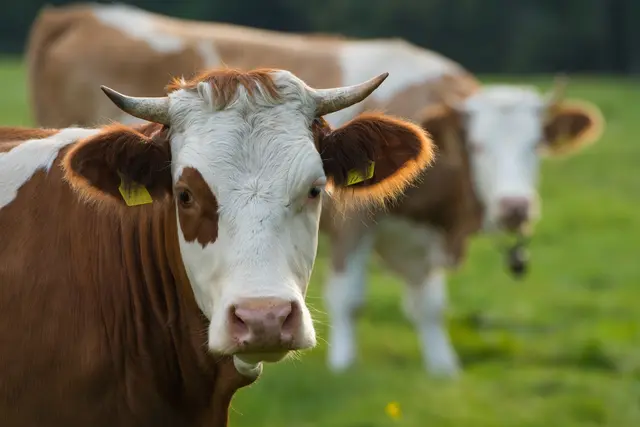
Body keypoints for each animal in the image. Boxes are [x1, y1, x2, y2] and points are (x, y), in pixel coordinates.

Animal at [26, 3, 606, 377]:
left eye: (536, 145)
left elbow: (429, 303)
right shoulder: (353, 224)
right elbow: (351, 297)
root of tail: (76, 15)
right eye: (476, 146)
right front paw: (343, 366)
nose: (515, 208)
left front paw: (443, 367)